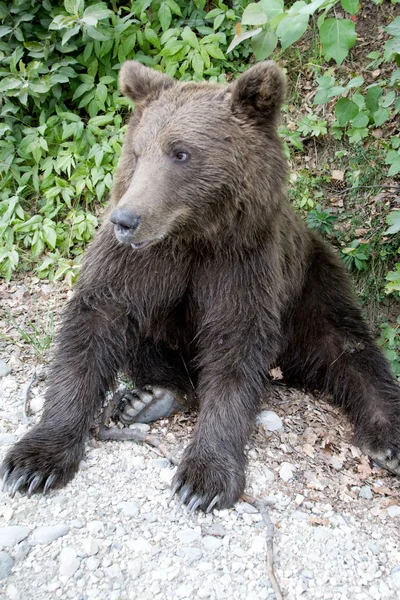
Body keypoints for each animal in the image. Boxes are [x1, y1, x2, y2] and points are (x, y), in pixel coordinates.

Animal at [1, 62, 398, 510]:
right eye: (137, 152)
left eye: (181, 153)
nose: (125, 220)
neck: (192, 235)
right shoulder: (138, 264)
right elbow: (96, 320)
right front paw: (35, 460)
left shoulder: (241, 263)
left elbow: (236, 345)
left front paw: (204, 479)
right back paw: (152, 397)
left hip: (312, 280)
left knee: (347, 348)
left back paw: (387, 440)